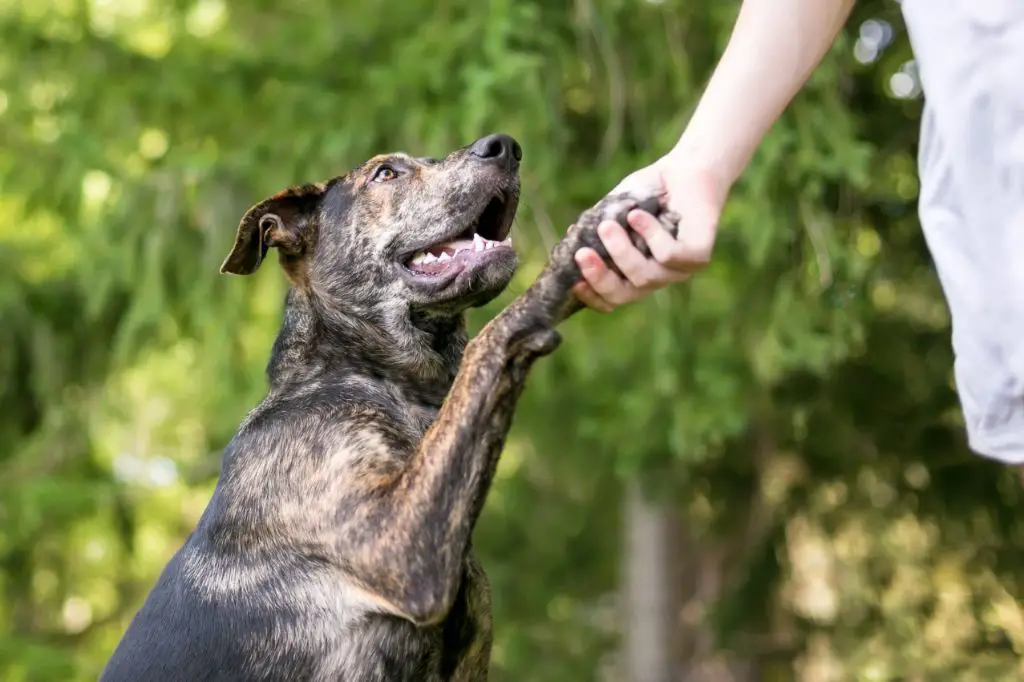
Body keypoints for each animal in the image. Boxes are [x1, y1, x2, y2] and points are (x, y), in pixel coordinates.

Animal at [101, 133, 679, 679]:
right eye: (385, 173)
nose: (505, 146)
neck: (373, 378)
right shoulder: (397, 542)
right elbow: (491, 338)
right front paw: (579, 245)